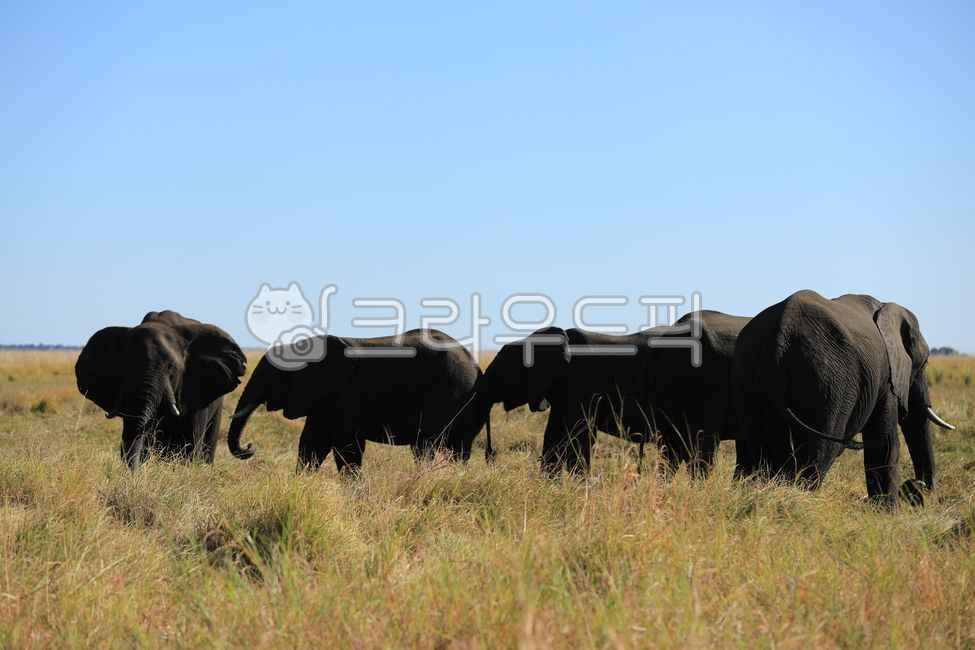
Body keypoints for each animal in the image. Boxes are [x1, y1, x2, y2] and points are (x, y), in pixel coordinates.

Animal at [227, 329, 492, 472]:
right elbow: (311, 444)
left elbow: (346, 446)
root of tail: (478, 370)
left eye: (270, 376)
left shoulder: (346, 396)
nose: (250, 446)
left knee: (424, 445)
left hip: (447, 395)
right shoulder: (325, 398)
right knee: (458, 450)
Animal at [732, 290, 955, 508]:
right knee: (819, 452)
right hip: (826, 383)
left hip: (748, 382)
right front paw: (887, 513)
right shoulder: (887, 377)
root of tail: (777, 346)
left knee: (767, 450)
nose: (917, 486)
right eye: (924, 363)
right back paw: (801, 499)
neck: (886, 306)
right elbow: (884, 441)